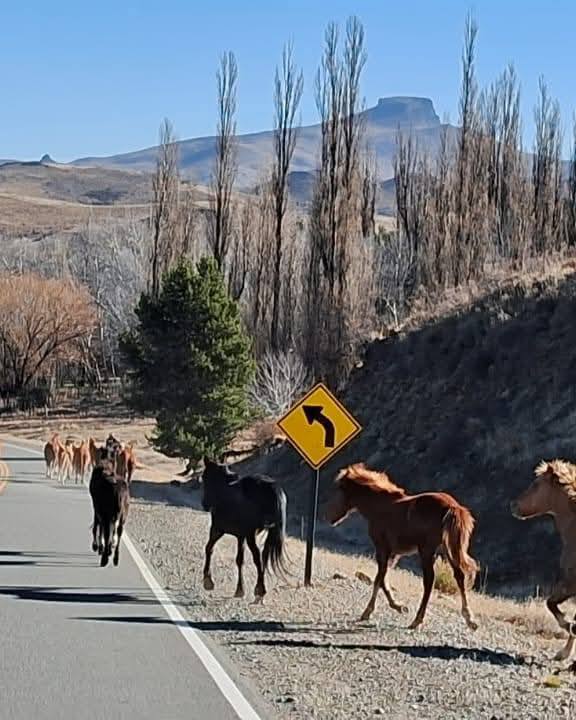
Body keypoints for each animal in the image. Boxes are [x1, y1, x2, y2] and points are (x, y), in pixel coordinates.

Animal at [201, 457, 288, 603]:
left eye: (204, 477)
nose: (205, 504)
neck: (223, 489)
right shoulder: (240, 536)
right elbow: (239, 560)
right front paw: (239, 590)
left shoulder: (217, 529)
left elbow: (209, 548)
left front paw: (208, 581)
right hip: (266, 533)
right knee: (263, 556)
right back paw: (259, 589)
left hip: (250, 535)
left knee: (258, 557)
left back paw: (260, 590)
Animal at [325, 463, 479, 630]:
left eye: (340, 489)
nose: (329, 516)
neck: (379, 506)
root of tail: (453, 506)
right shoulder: (394, 553)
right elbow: (383, 577)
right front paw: (398, 606)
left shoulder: (382, 548)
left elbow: (379, 578)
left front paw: (369, 611)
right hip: (447, 549)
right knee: (459, 575)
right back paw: (470, 620)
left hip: (427, 551)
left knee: (429, 580)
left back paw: (417, 620)